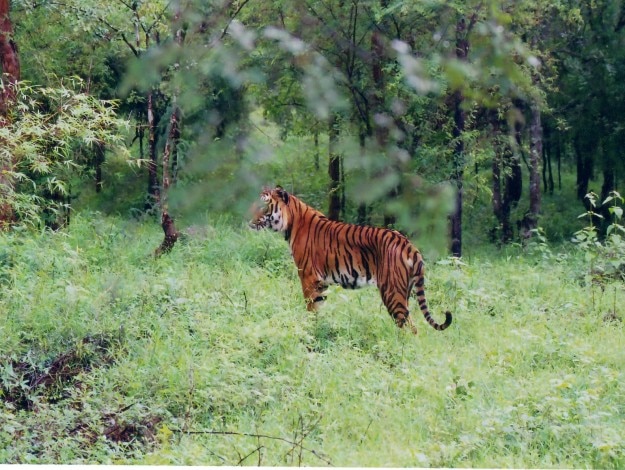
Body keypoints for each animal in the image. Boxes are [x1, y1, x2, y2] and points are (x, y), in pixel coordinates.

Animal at [250, 185, 454, 334]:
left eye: (264, 205)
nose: (249, 220)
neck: (291, 223)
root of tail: (409, 244)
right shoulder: (321, 283)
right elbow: (319, 307)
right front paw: (319, 329)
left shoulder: (308, 276)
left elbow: (311, 308)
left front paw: (308, 330)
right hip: (405, 291)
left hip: (392, 291)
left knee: (408, 326)